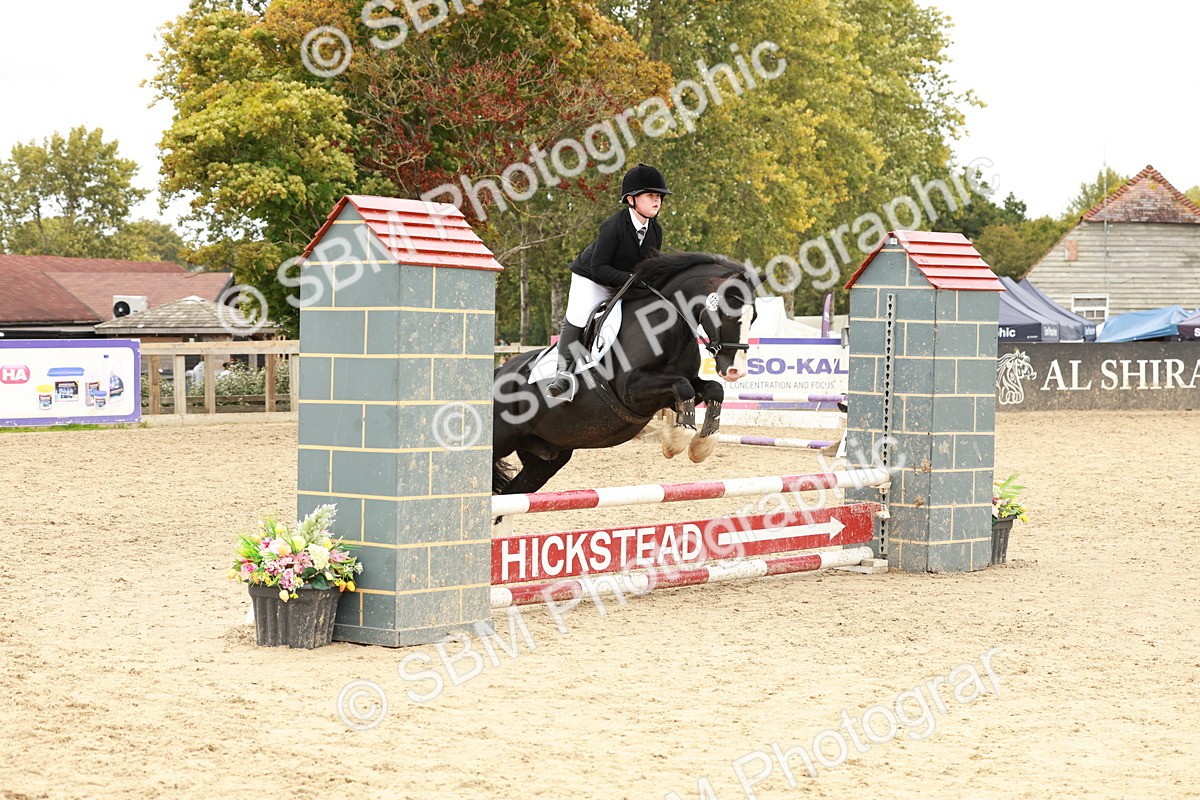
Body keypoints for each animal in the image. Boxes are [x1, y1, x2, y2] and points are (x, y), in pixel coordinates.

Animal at [492, 251, 759, 496]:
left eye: (753, 317)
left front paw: (702, 444)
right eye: (727, 313)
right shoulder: (631, 390)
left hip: (544, 459)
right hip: (500, 440)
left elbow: (712, 389)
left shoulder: (671, 396)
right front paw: (676, 442)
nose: (736, 370)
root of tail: (498, 373)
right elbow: (682, 385)